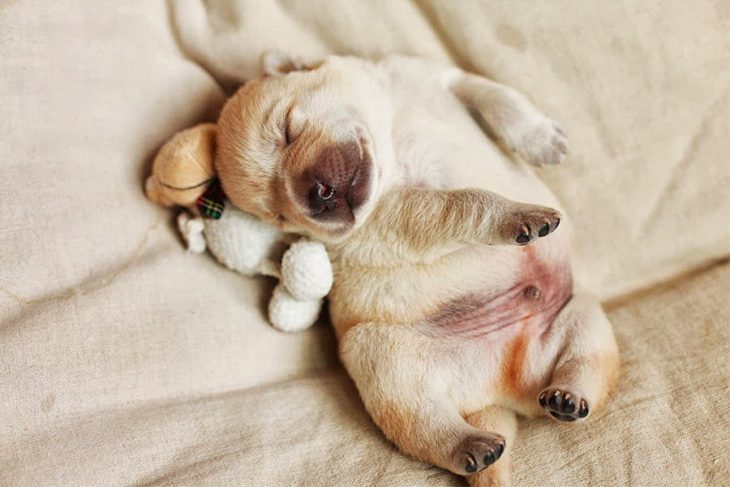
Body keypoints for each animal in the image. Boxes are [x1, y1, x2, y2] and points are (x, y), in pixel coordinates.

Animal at [199, 54, 616, 487]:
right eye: (279, 215)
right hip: (379, 359)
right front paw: (513, 213)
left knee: (585, 361)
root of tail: (499, 392)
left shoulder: (430, 73)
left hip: (580, 315)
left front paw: (541, 138)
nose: (314, 197)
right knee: (420, 420)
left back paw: (568, 396)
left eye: (288, 130)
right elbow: (460, 204)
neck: (389, 135)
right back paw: (470, 445)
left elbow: (493, 93)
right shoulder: (396, 215)